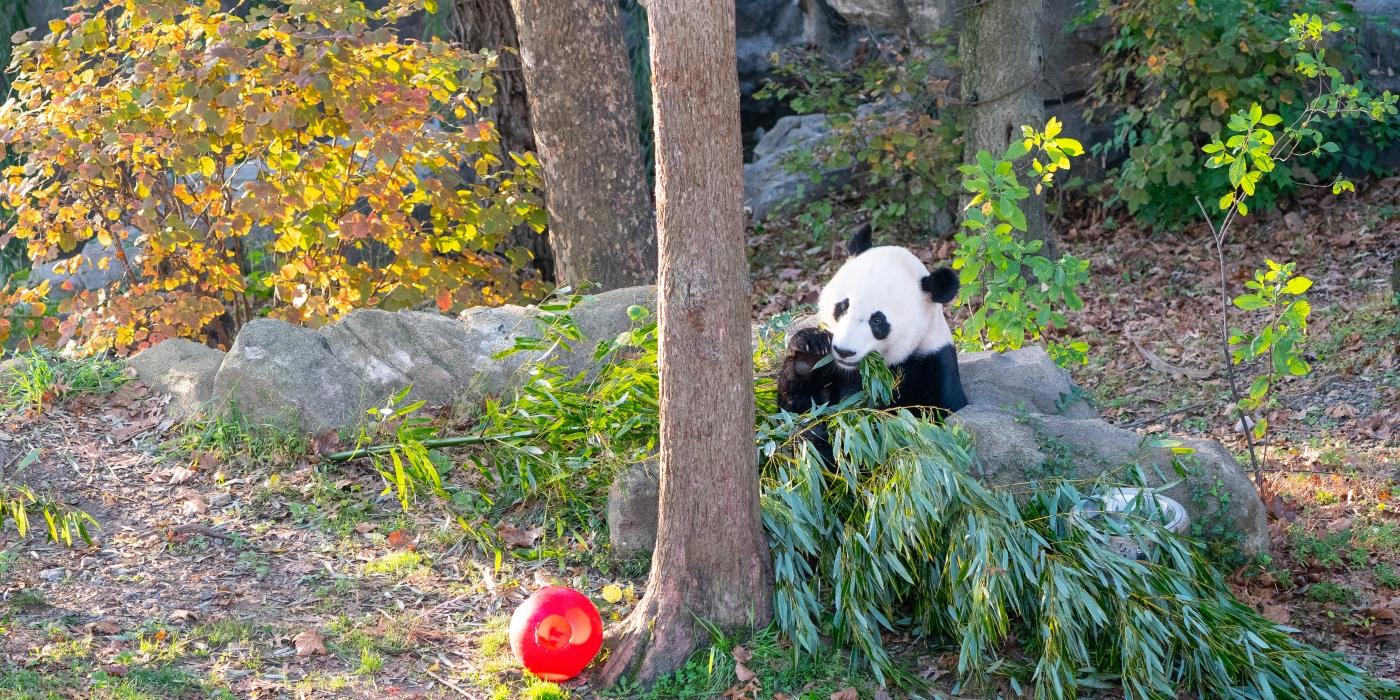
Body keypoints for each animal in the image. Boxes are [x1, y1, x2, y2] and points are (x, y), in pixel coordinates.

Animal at [778, 224, 963, 417]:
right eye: (843, 307)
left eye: (877, 321)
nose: (844, 351)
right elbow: (800, 410)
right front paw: (809, 353)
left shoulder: (932, 366)